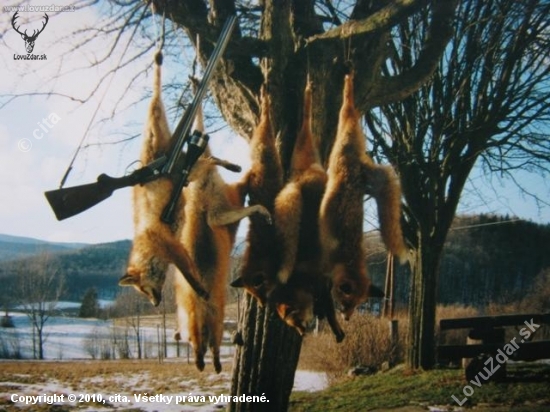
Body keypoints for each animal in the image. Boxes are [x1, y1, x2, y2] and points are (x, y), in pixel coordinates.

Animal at [320, 72, 406, 320]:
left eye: (359, 305)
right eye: (345, 303)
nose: (347, 318)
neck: (347, 253)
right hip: (343, 130)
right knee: (347, 106)